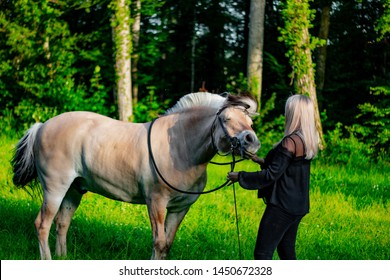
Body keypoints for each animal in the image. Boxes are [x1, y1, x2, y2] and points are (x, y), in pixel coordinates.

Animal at [12, 92, 260, 260]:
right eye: (227, 119)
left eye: (250, 122)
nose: (252, 141)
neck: (180, 147)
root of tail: (42, 126)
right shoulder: (156, 203)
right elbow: (159, 242)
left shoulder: (180, 208)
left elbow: (167, 244)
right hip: (55, 188)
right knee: (42, 225)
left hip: (74, 189)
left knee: (62, 223)